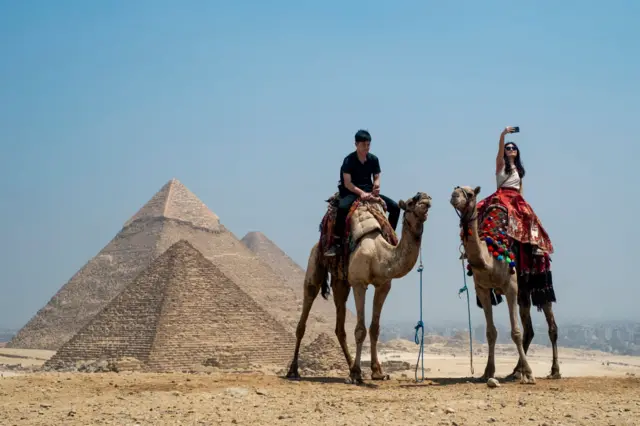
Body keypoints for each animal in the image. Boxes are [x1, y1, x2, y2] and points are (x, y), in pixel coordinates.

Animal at [288, 191, 432, 384]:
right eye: (411, 202)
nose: (425, 197)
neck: (380, 254)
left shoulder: (383, 285)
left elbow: (374, 329)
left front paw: (377, 372)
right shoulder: (359, 283)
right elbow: (360, 330)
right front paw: (358, 373)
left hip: (340, 281)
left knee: (340, 326)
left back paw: (349, 368)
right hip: (315, 262)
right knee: (306, 309)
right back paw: (293, 370)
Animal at [450, 186, 540, 386]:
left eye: (470, 193)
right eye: (455, 189)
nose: (454, 196)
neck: (489, 259)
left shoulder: (511, 286)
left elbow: (516, 332)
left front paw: (530, 374)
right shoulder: (482, 288)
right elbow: (491, 332)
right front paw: (487, 372)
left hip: (530, 286)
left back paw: (537, 372)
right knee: (529, 329)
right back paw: (516, 371)